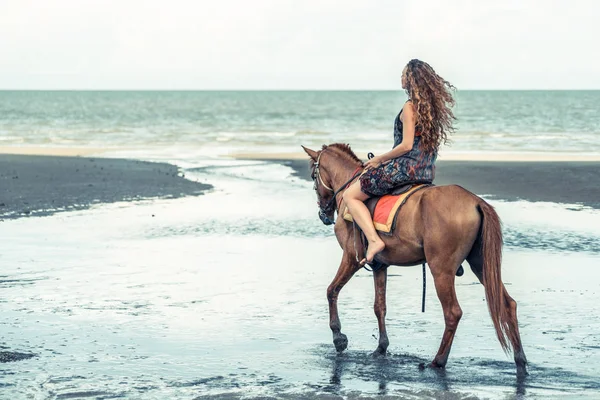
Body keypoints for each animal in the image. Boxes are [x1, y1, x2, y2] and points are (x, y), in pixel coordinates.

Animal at [302, 143, 528, 376]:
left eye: (313, 176)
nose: (324, 214)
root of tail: (476, 202)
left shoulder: (351, 257)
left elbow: (331, 291)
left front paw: (338, 337)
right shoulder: (380, 265)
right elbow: (379, 306)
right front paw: (381, 347)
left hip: (441, 270)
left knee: (453, 313)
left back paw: (438, 361)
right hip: (481, 265)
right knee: (508, 304)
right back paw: (520, 361)